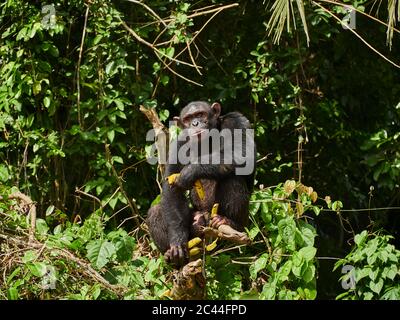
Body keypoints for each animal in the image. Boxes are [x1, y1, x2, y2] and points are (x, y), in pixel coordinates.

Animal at [145, 101, 255, 266]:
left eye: (200, 114)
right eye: (188, 118)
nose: (195, 123)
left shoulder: (236, 120)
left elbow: (241, 153)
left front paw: (190, 171)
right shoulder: (179, 143)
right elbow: (171, 191)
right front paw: (177, 242)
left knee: (232, 179)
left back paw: (231, 224)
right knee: (155, 211)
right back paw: (172, 257)